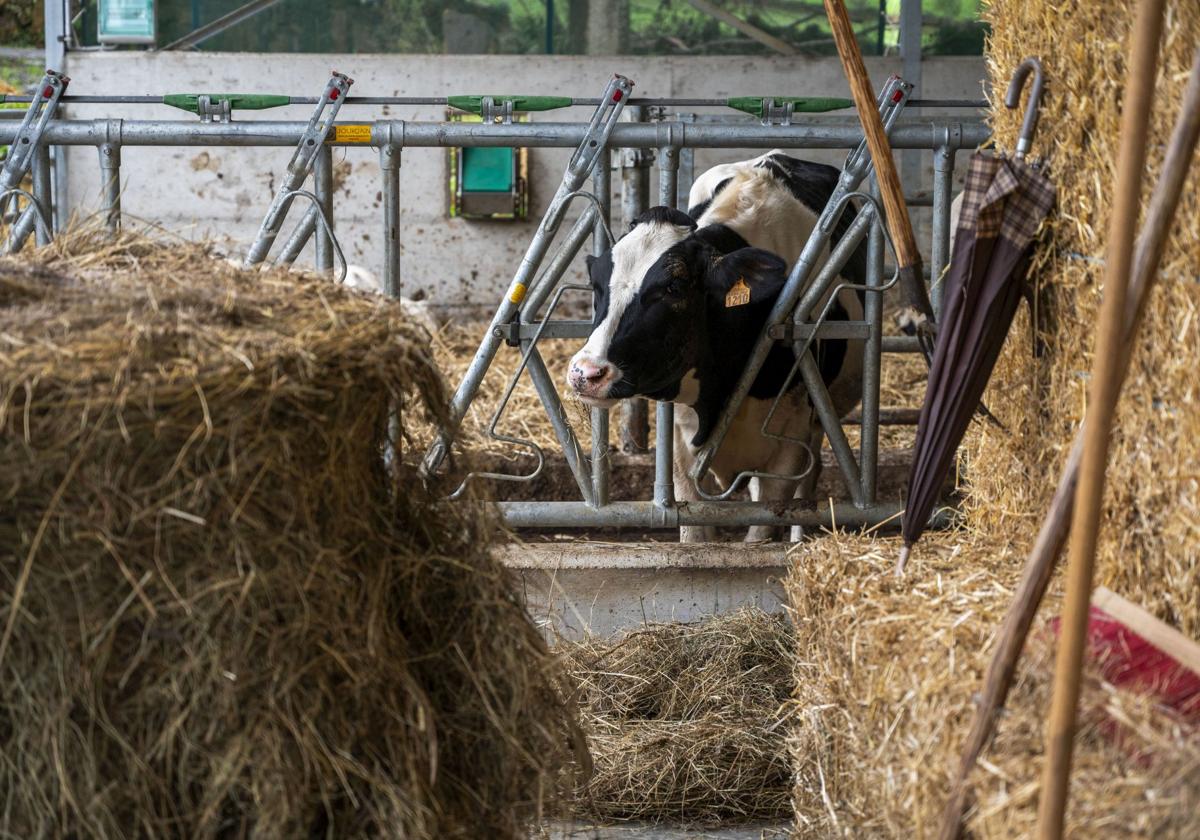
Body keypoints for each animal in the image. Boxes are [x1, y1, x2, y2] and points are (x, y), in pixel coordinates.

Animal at [566, 149, 868, 544]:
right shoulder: (681, 446)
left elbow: (763, 527)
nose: (586, 372)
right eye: (597, 284)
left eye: (674, 287)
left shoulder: (789, 444)